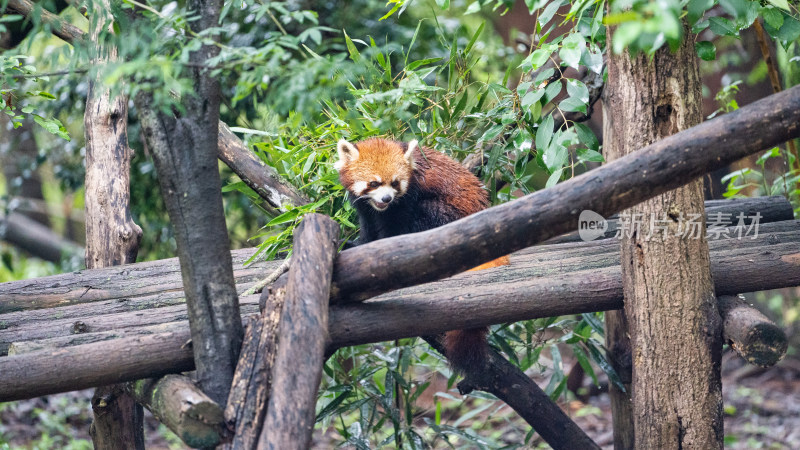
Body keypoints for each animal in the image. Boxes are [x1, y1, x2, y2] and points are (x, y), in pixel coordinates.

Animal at [334, 137, 510, 372]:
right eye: (374, 183)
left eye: (395, 183)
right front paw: (358, 246)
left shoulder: (409, 196)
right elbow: (368, 226)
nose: (387, 198)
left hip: (445, 214)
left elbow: (395, 229)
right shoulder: (365, 206)